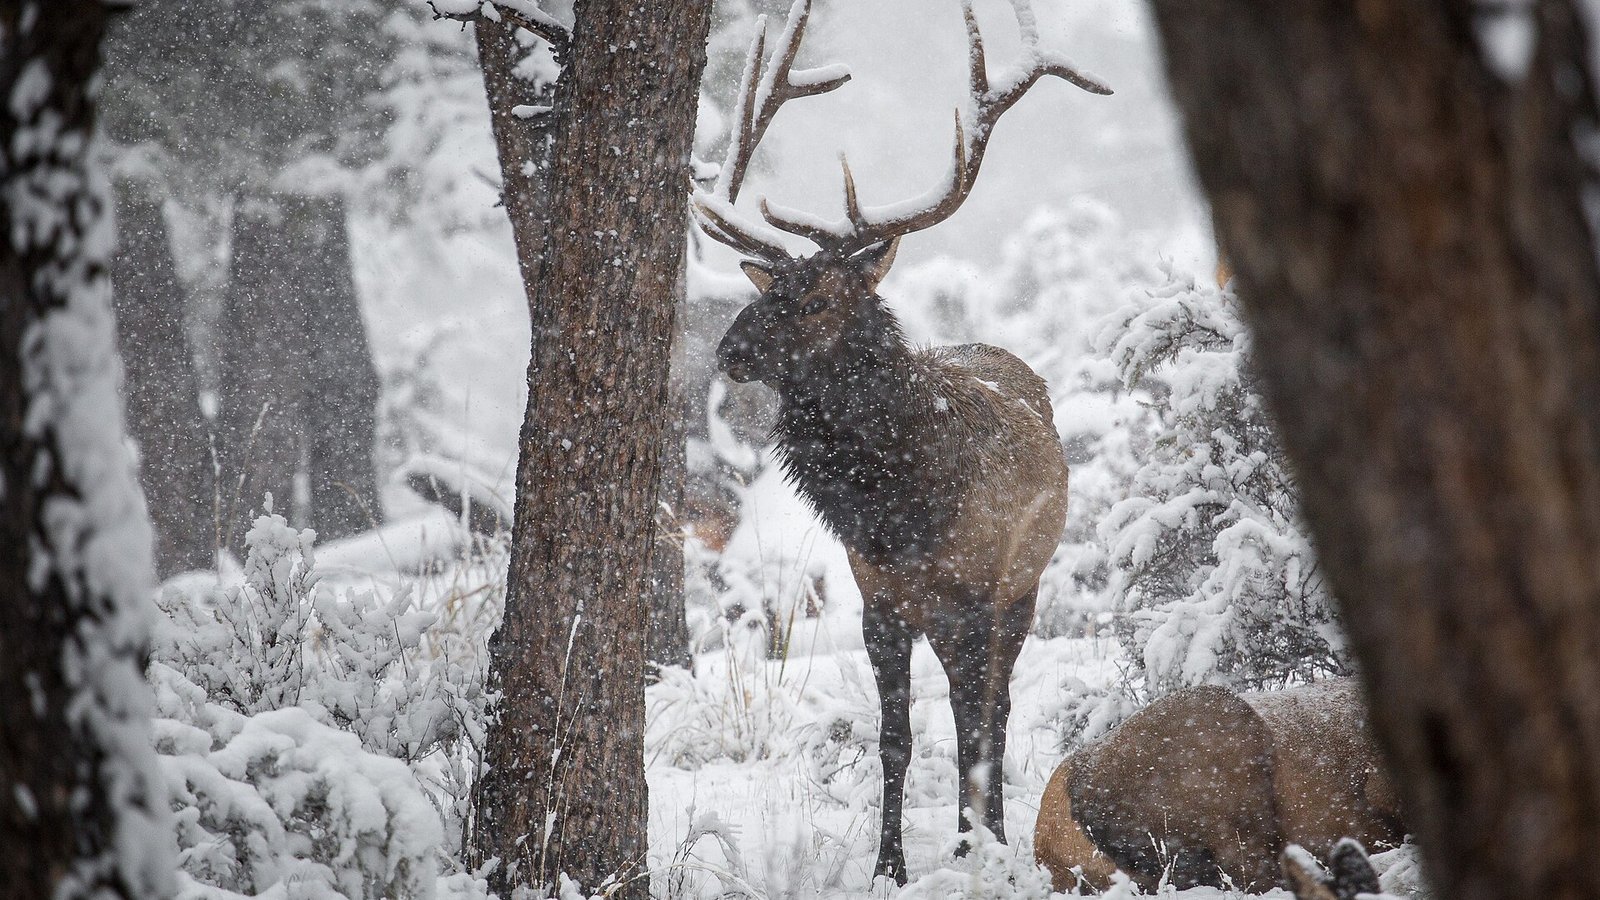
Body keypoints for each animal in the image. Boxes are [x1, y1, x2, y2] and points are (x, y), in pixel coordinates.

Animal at [689, 0, 1109, 884]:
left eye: (818, 298)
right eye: (771, 287)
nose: (730, 349)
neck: (900, 511)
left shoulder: (974, 597)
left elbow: (974, 724)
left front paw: (974, 849)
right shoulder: (878, 599)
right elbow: (896, 737)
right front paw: (891, 866)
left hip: (1022, 590)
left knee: (995, 708)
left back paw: (985, 831)